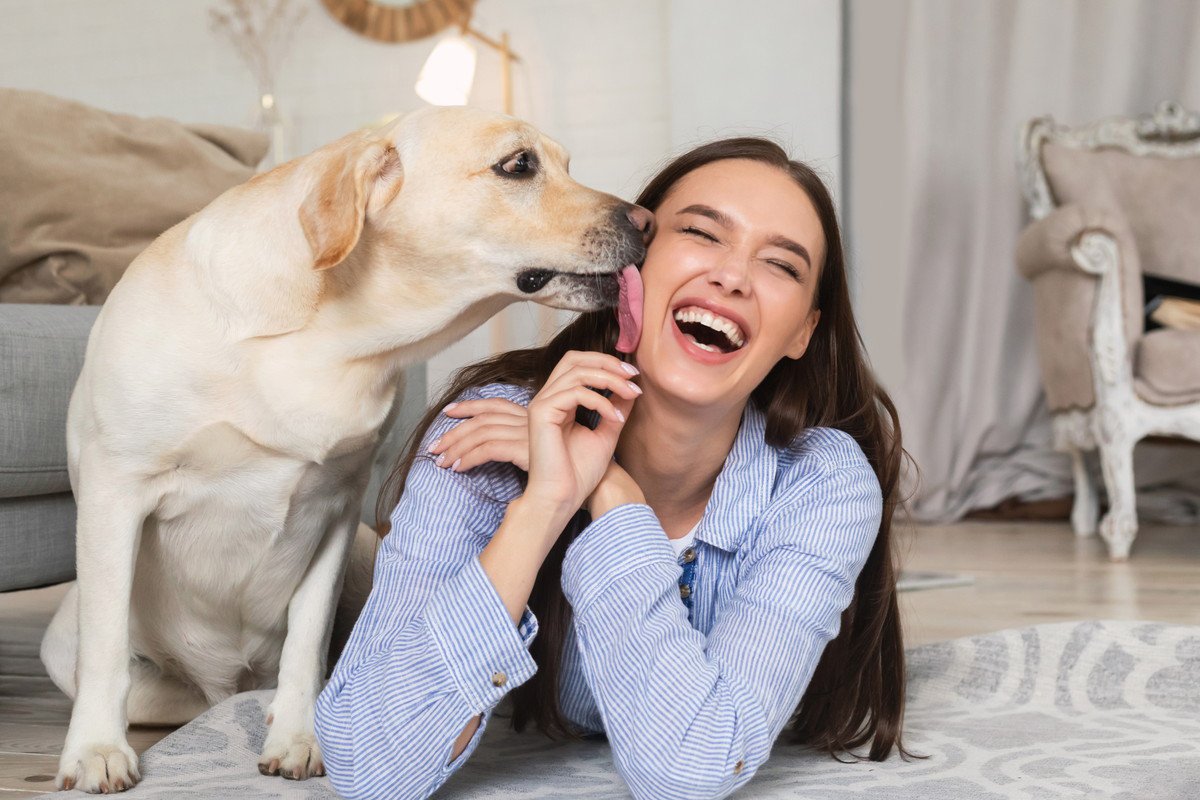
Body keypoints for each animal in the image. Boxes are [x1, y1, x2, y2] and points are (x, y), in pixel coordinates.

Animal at [39, 106, 648, 796]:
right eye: (518, 165)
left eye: (566, 163)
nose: (645, 221)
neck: (332, 337)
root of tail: (232, 680)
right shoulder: (116, 490)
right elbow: (107, 646)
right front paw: (94, 749)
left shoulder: (335, 505)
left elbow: (308, 641)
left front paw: (298, 736)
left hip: (365, 552)